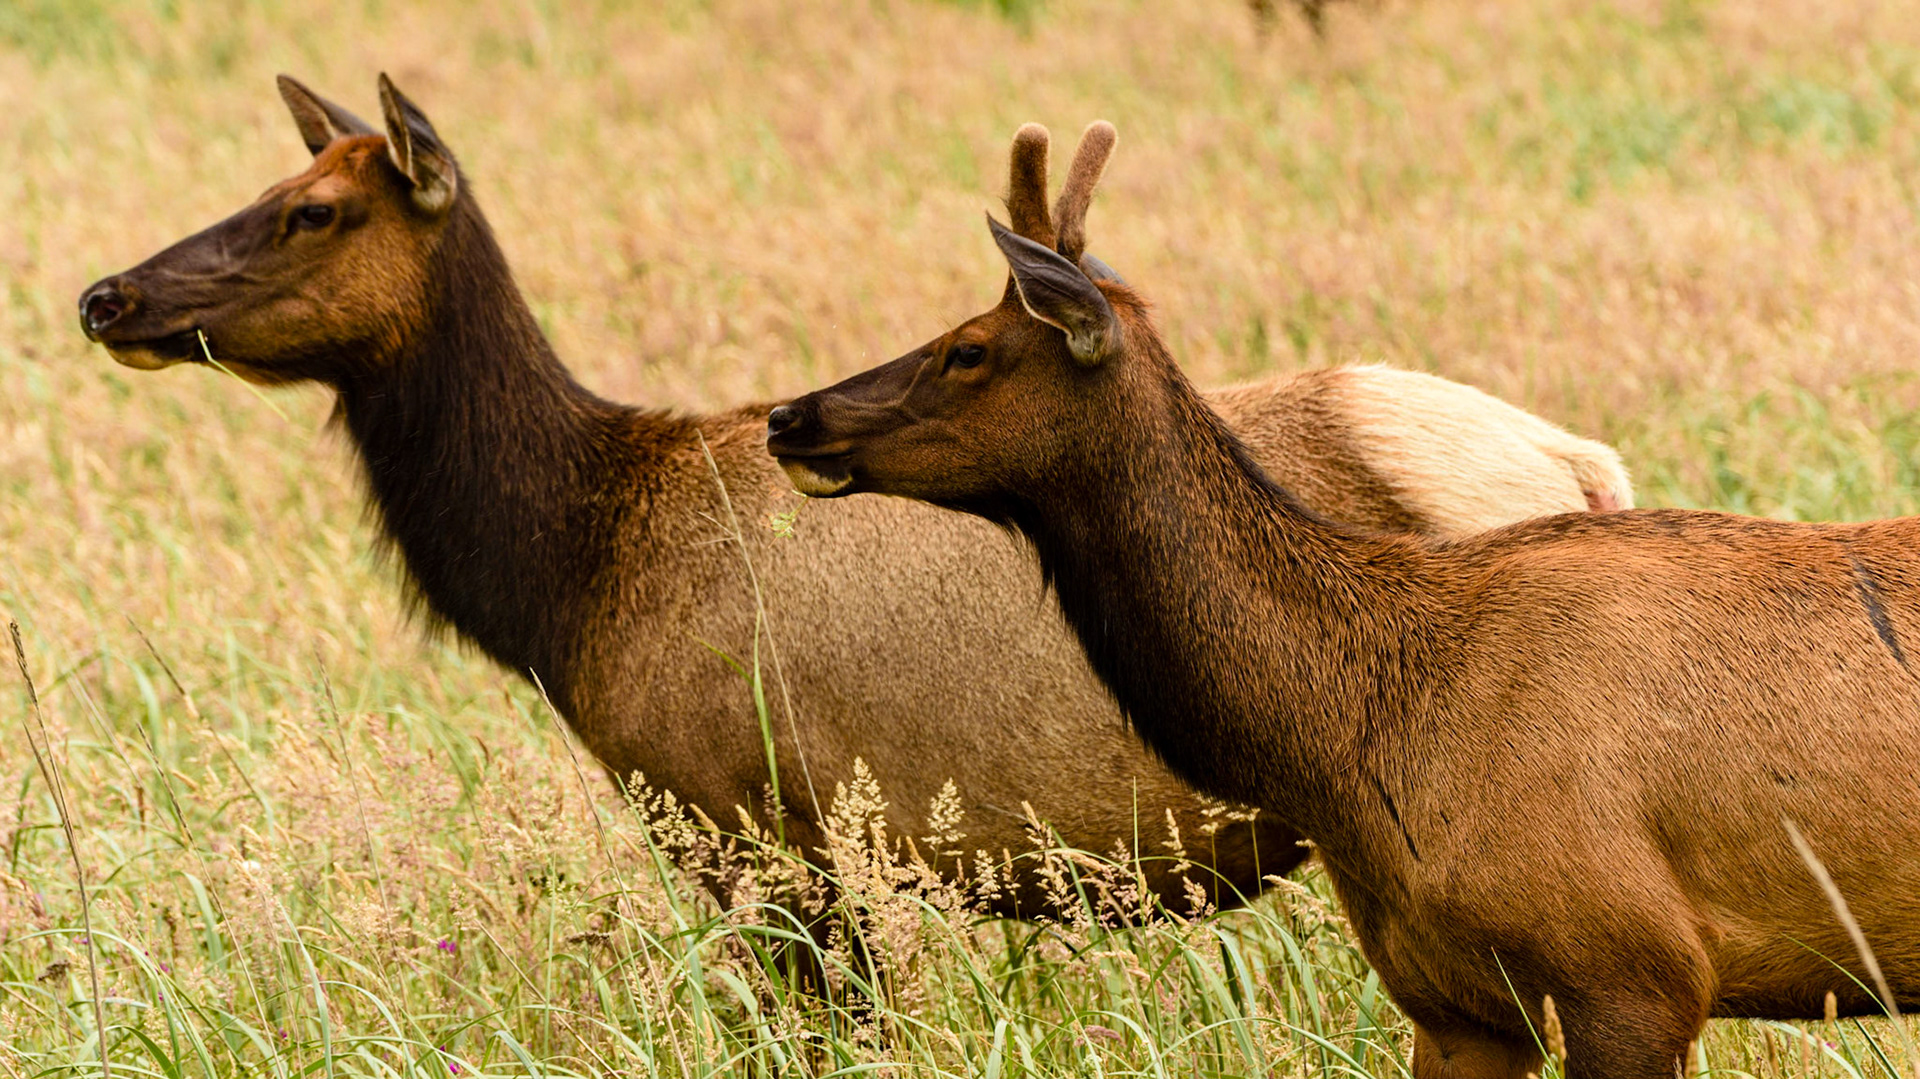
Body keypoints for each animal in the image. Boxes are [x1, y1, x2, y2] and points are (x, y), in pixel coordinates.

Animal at [76, 75, 1632, 943]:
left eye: (311, 212)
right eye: (276, 179)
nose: (108, 293)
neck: (571, 574)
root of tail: (1582, 462)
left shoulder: (758, 827)